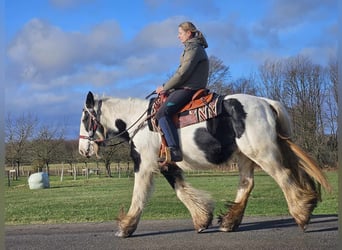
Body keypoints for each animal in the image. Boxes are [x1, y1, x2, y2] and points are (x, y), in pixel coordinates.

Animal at [78, 91, 332, 237]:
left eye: (85, 118)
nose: (83, 150)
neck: (139, 122)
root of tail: (265, 102)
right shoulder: (167, 165)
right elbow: (181, 191)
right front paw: (202, 219)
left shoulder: (145, 163)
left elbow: (139, 195)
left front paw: (126, 227)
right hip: (245, 156)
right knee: (247, 183)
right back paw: (229, 222)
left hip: (261, 152)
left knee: (284, 176)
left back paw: (301, 213)